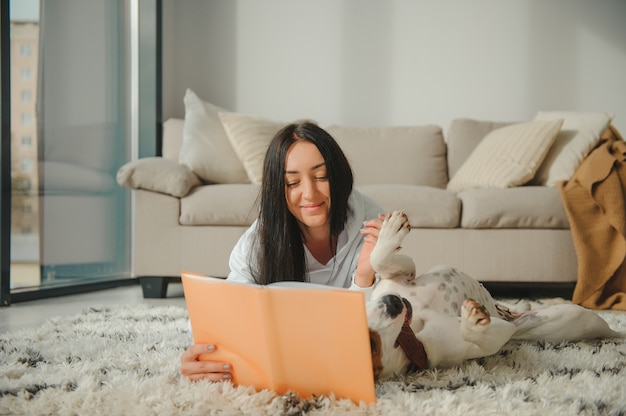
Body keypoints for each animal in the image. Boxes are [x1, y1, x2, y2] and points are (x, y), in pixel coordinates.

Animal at [366, 211, 624, 380]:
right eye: (372, 345)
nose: (392, 303)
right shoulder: (492, 335)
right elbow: (474, 333)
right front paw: (473, 318)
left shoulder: (402, 274)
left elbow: (378, 259)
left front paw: (387, 231)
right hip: (577, 319)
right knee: (607, 329)